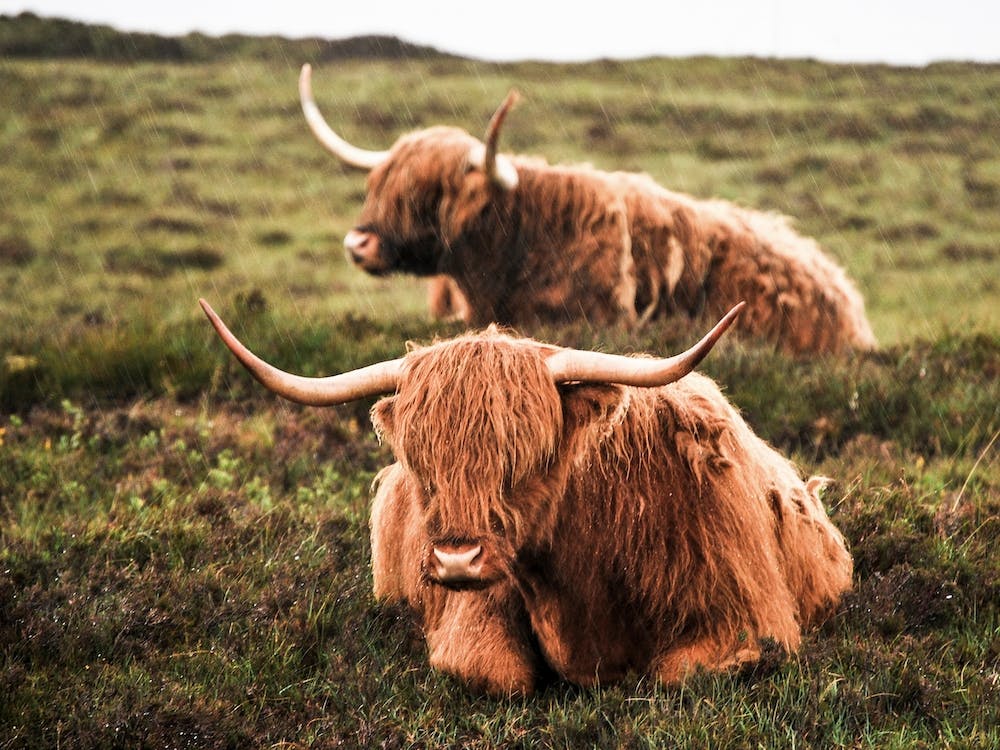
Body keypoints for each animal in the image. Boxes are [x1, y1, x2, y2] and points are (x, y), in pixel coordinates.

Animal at [200, 298, 853, 695]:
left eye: (523, 458)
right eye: (423, 463)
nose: (456, 560)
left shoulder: (745, 621)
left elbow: (673, 674)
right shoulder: (475, 614)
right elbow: (498, 674)